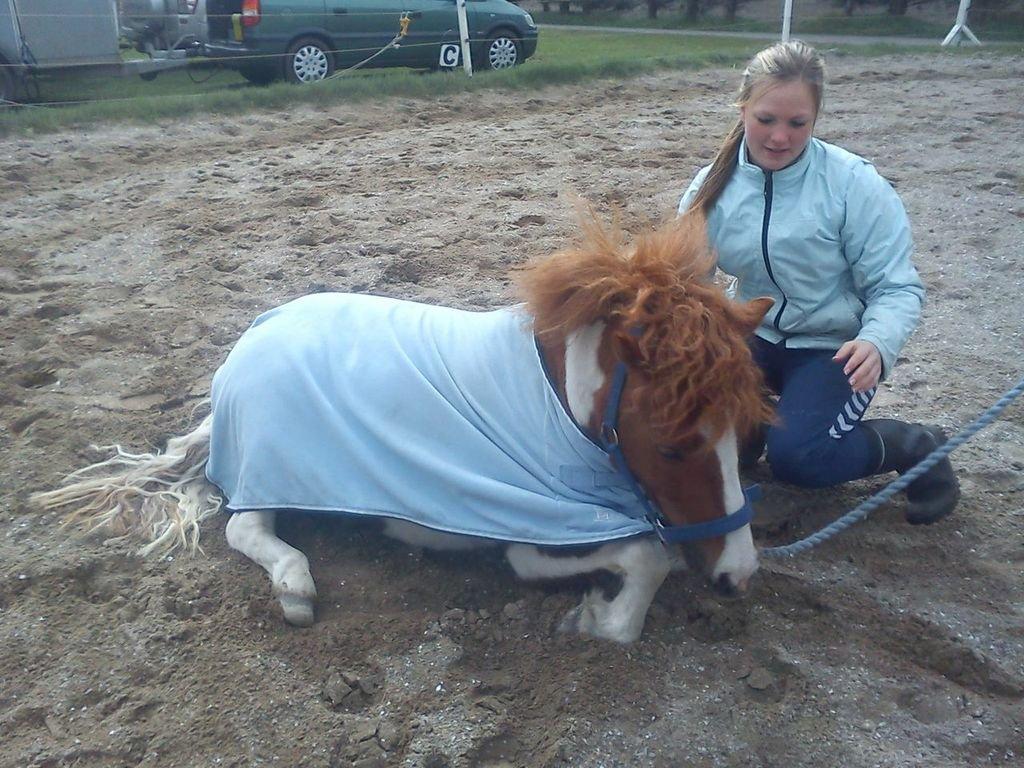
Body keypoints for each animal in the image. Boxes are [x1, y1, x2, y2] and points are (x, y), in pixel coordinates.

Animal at [34, 210, 774, 643]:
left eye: (749, 440)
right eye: (675, 447)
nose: (739, 577)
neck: (554, 403)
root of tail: (241, 355)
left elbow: (657, 552)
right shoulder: (531, 538)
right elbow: (650, 559)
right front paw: (599, 617)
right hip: (268, 467)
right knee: (246, 528)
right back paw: (294, 586)